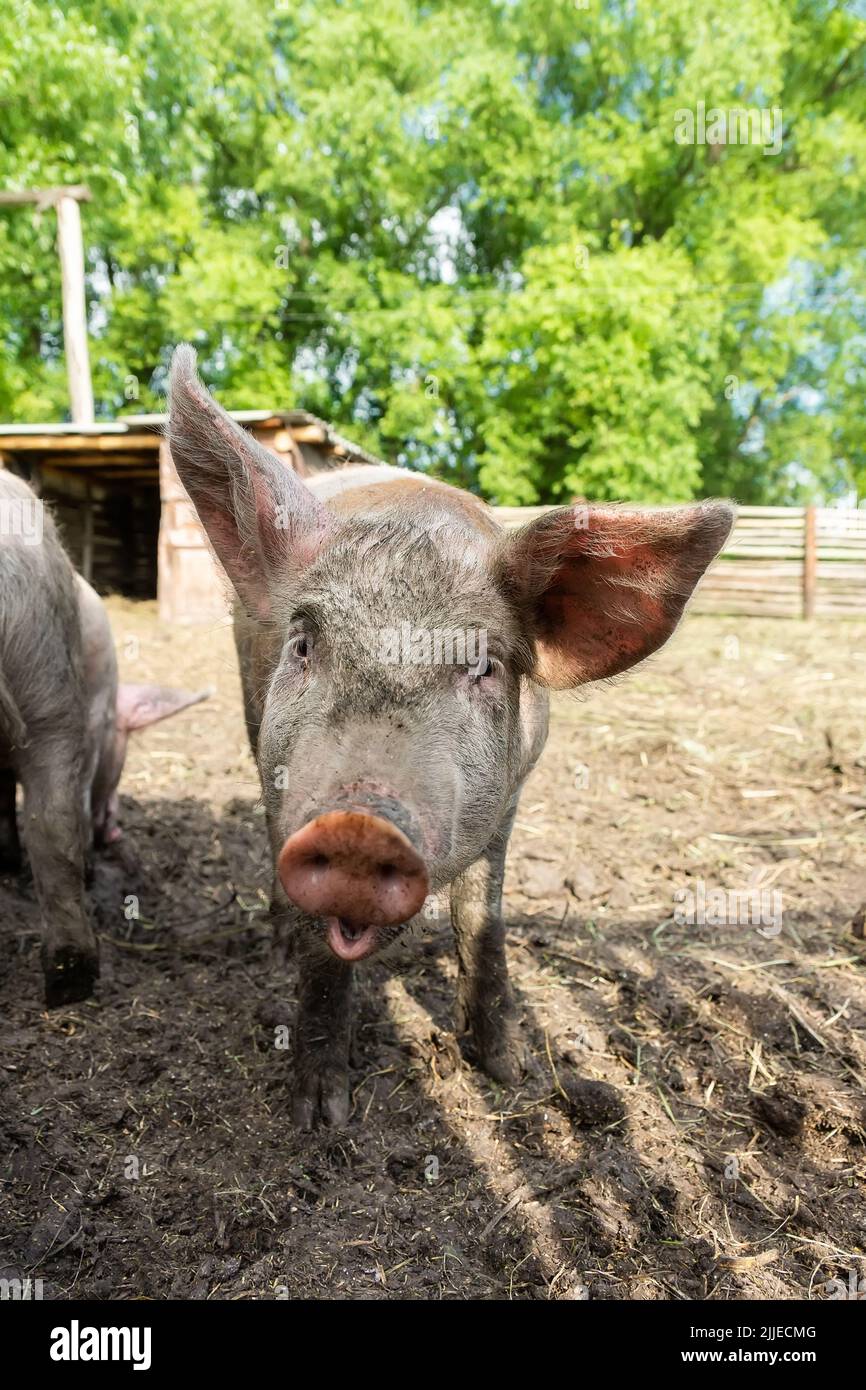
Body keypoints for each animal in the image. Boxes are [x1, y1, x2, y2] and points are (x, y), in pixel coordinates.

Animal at [168, 344, 734, 1127]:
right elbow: (320, 956)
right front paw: (319, 1118)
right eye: (305, 643)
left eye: (484, 665)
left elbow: (483, 921)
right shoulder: (290, 783)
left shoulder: (513, 792)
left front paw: (509, 1071)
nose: (356, 826)